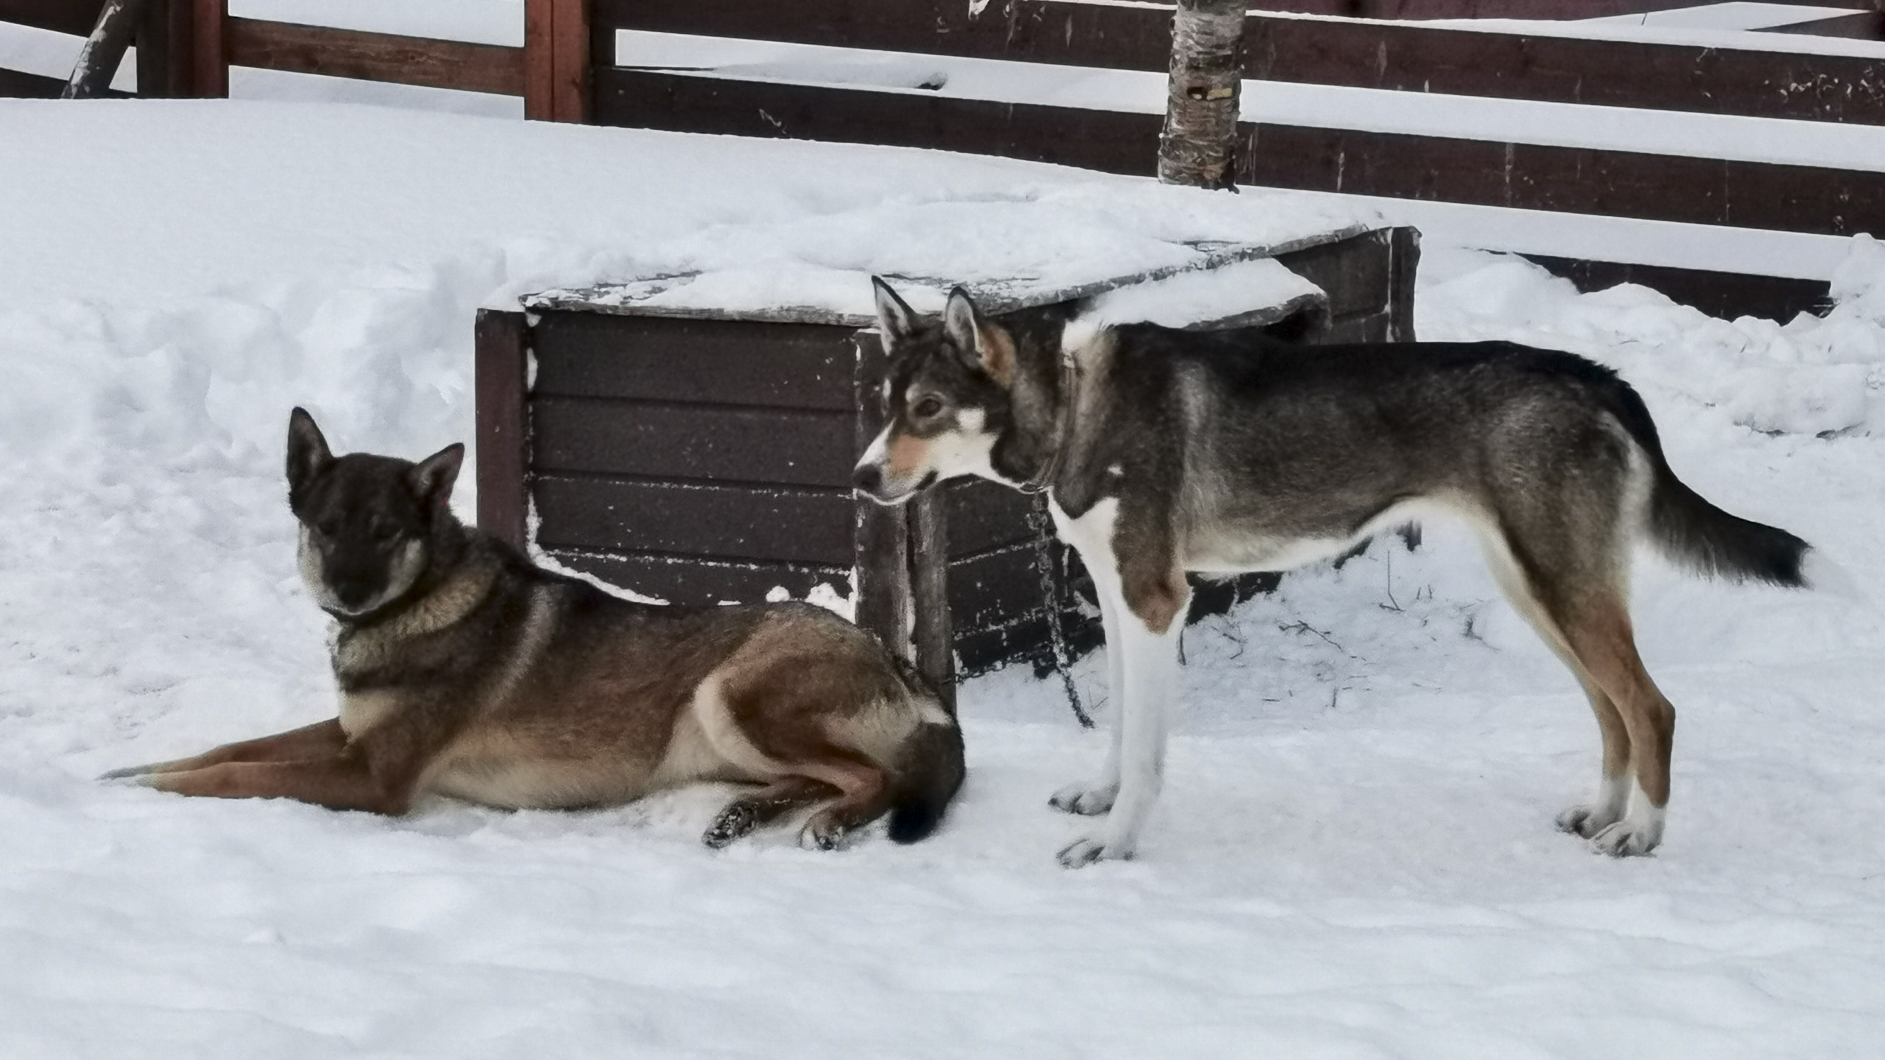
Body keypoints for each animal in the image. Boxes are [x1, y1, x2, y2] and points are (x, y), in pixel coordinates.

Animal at [105, 408, 965, 850]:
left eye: (385, 532)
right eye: (327, 527)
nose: (349, 594)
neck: (418, 604)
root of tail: (899, 663)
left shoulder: (373, 778)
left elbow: (236, 775)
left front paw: (155, 788)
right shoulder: (350, 737)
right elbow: (230, 749)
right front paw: (131, 769)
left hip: (733, 692)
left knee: (873, 779)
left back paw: (831, 822)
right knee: (827, 774)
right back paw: (741, 815)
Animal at [853, 278, 1825, 867]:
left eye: (928, 408)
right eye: (885, 405)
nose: (860, 480)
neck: (1071, 402)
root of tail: (1596, 377)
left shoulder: (1155, 601)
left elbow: (1147, 753)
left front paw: (1117, 844)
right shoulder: (1116, 597)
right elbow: (1120, 728)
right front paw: (1100, 798)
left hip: (1562, 590)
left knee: (1650, 708)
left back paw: (1642, 834)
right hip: (1541, 591)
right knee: (1611, 711)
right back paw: (1604, 814)